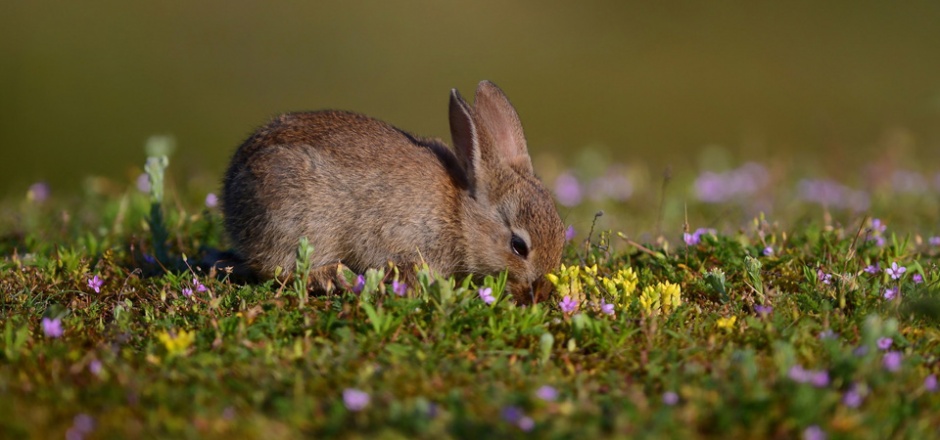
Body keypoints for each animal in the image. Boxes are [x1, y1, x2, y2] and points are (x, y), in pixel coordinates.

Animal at [220, 81, 564, 304]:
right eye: (519, 246)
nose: (538, 294)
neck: (460, 215)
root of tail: (230, 196)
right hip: (293, 219)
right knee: (276, 269)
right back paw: (329, 276)